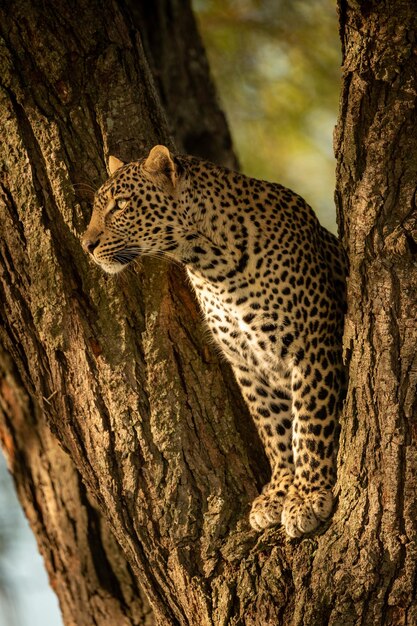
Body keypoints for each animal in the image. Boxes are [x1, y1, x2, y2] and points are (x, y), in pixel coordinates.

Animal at [80, 145, 344, 536]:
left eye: (121, 205)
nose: (86, 244)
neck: (214, 267)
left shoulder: (312, 345)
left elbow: (309, 425)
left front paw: (307, 496)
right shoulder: (247, 363)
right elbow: (275, 429)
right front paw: (279, 492)